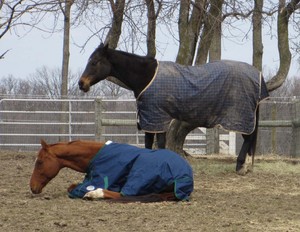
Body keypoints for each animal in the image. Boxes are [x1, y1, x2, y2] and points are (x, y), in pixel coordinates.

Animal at [29, 140, 195, 201]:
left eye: (40, 162)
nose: (32, 187)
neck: (94, 155)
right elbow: (71, 186)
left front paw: (91, 192)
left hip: (137, 177)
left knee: (123, 194)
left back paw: (94, 194)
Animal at [78, 43, 270, 175]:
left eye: (95, 62)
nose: (82, 84)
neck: (146, 77)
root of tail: (257, 75)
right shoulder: (152, 119)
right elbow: (150, 144)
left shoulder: (156, 117)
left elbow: (159, 144)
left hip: (240, 117)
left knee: (248, 138)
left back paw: (240, 166)